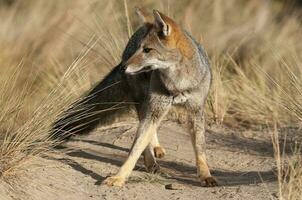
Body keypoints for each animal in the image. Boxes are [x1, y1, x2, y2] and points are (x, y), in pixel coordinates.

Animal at [52, 8, 217, 188]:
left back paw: (156, 150)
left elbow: (200, 149)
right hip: (145, 102)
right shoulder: (155, 107)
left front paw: (205, 175)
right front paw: (119, 177)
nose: (123, 67)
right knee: (144, 131)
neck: (178, 85)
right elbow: (136, 148)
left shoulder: (196, 111)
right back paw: (151, 162)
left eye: (147, 50)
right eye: (139, 49)